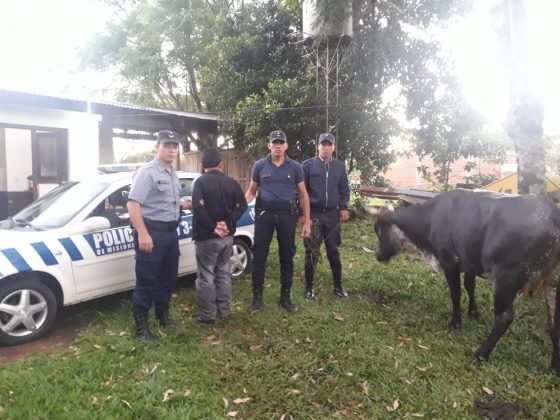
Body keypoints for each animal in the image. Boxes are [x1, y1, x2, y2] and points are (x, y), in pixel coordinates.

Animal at [372, 189, 560, 372]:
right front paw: (473, 312)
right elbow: (470, 286)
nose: (378, 255)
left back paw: (481, 354)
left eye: (379, 231)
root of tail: (552, 212)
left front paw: (456, 323)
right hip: (552, 283)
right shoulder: (470, 264)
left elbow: (456, 294)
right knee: (554, 323)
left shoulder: (449, 260)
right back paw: (554, 367)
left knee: (504, 318)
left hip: (507, 280)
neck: (431, 217)